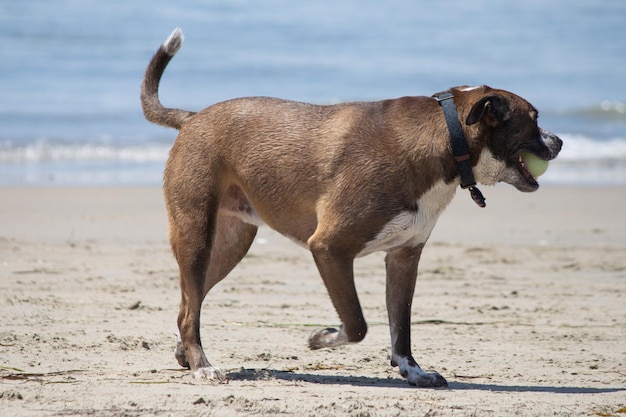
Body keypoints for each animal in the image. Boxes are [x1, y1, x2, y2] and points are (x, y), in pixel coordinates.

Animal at [140, 29, 560, 386]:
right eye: (533, 120)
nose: (558, 142)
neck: (445, 137)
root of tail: (192, 118)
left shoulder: (404, 258)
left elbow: (401, 327)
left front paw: (413, 370)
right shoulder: (329, 248)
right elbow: (357, 324)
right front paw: (323, 337)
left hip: (229, 246)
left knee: (188, 305)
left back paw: (187, 353)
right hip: (196, 235)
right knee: (190, 306)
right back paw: (202, 366)